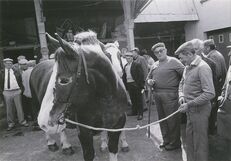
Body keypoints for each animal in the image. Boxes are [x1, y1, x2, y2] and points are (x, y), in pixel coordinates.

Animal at [34, 30, 129, 161]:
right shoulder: (84, 132)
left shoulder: (116, 126)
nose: (43, 121)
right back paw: (57, 144)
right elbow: (89, 154)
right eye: (108, 55)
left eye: (64, 80)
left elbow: (113, 149)